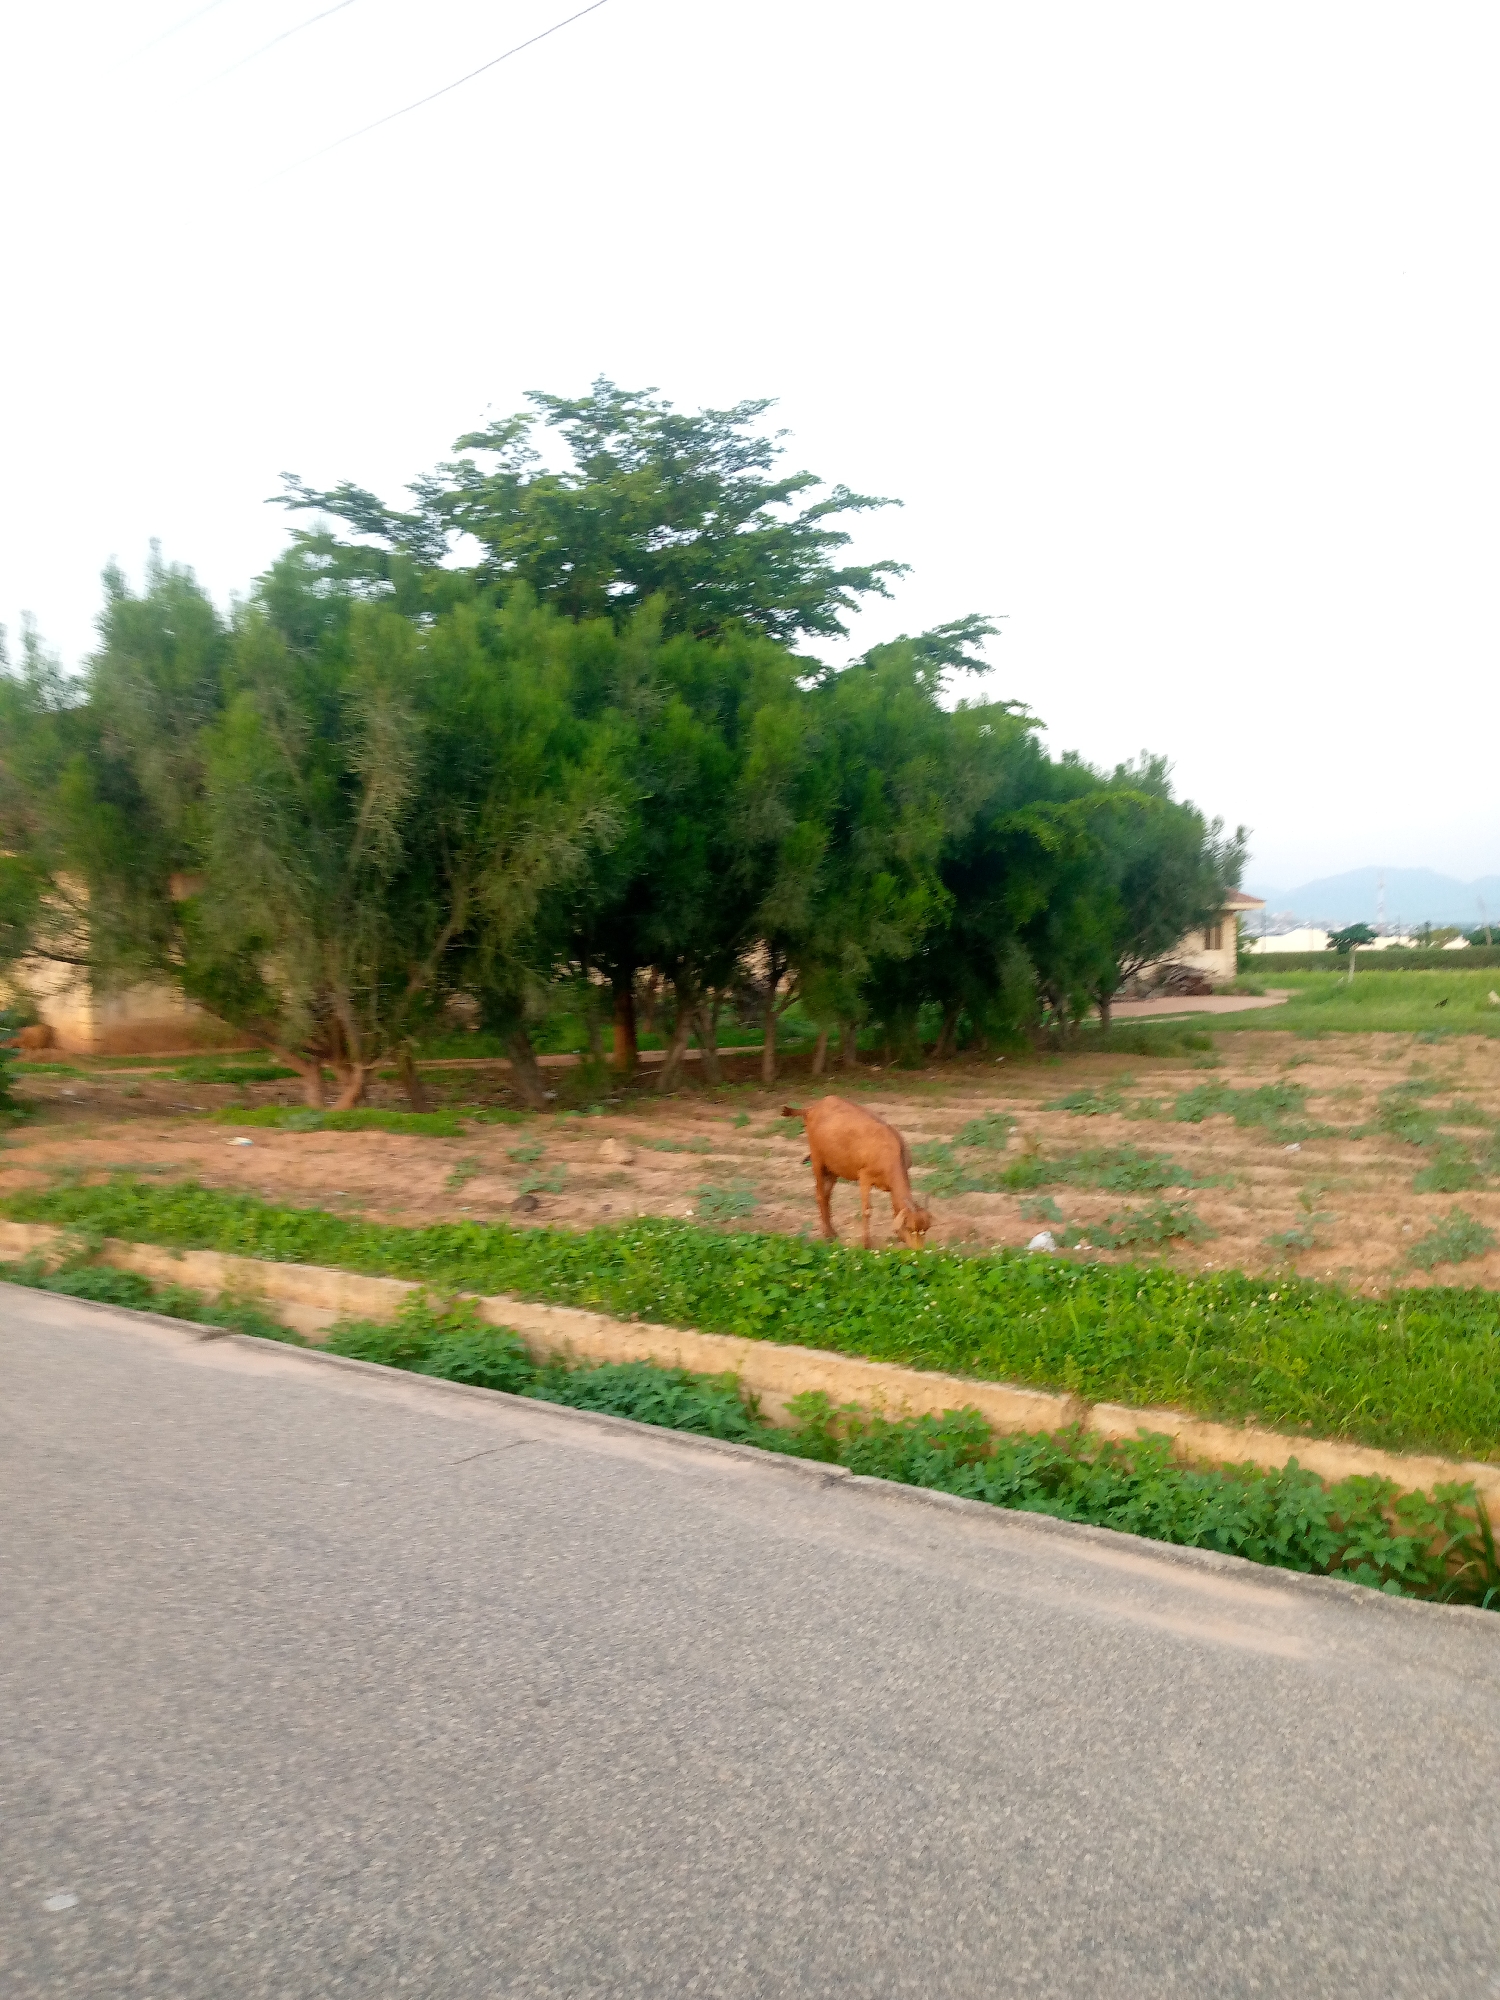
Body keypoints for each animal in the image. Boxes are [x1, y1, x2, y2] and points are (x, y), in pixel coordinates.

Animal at [781, 1095, 933, 1250]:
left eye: (926, 1229)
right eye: (910, 1228)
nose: (919, 1251)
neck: (891, 1152)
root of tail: (811, 1109)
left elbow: (895, 1205)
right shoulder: (865, 1176)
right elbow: (866, 1210)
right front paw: (866, 1245)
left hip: (834, 1167)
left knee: (826, 1194)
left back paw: (832, 1233)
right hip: (818, 1159)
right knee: (820, 1195)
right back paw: (828, 1236)